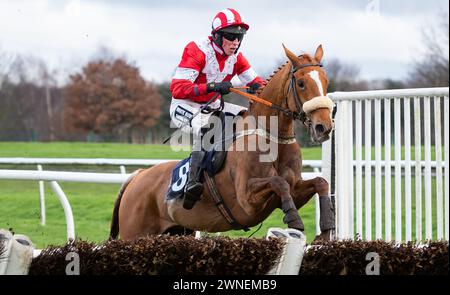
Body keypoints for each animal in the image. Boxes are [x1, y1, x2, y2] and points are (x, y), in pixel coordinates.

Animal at [108, 45, 334, 242]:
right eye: (301, 83)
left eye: (326, 81)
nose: (323, 127)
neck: (271, 138)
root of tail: (137, 177)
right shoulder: (247, 202)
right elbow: (279, 182)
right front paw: (294, 220)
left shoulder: (294, 190)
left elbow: (320, 182)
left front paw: (326, 229)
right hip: (135, 233)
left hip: (178, 231)